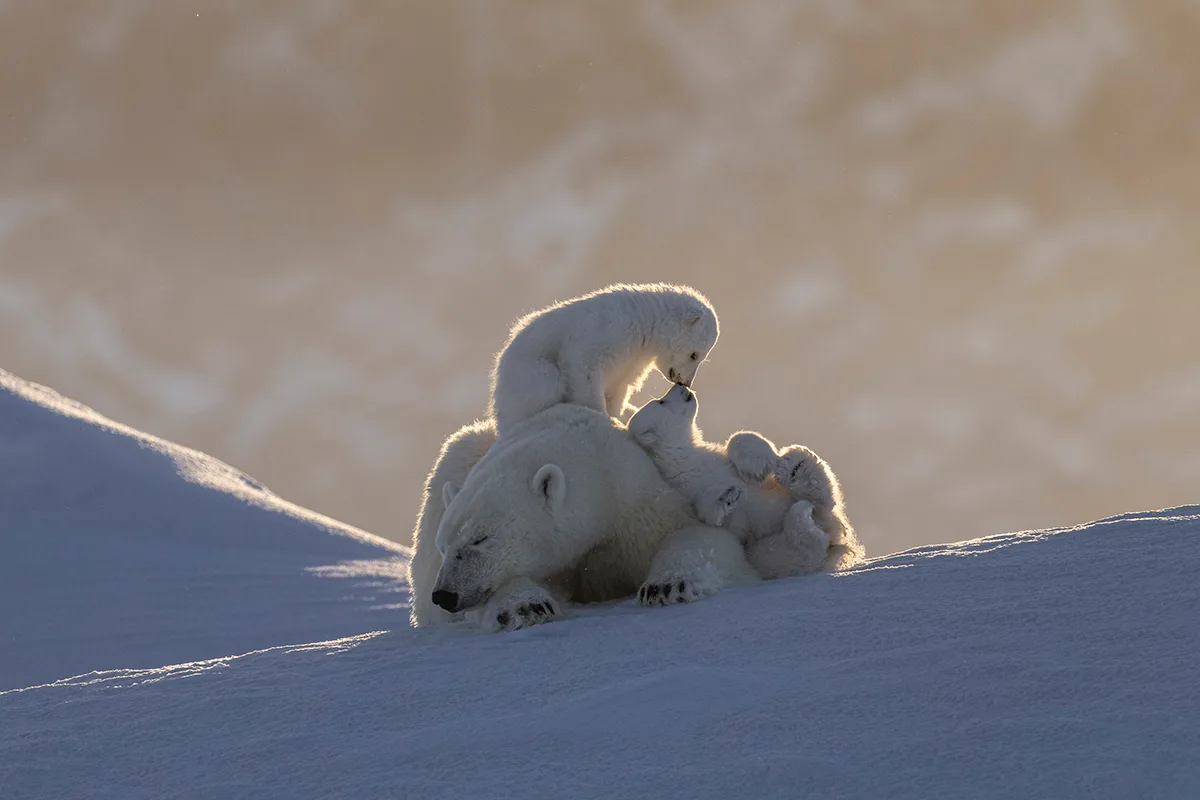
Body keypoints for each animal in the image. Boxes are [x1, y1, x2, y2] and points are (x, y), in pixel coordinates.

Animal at [411, 402, 761, 632]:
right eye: (444, 546)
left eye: (479, 539)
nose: (445, 595)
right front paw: (527, 606)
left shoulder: (637, 500)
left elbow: (702, 537)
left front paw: (667, 586)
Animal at [487, 283, 720, 437]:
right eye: (694, 355)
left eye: (701, 357)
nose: (685, 382)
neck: (643, 323)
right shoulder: (603, 332)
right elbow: (582, 368)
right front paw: (602, 417)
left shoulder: (630, 363)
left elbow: (618, 390)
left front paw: (617, 416)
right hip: (530, 372)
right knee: (545, 383)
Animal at [626, 383, 864, 579]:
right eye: (661, 401)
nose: (680, 384)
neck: (686, 461)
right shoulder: (687, 492)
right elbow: (716, 517)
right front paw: (726, 496)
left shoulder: (720, 462)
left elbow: (738, 445)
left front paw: (759, 462)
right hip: (766, 548)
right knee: (794, 551)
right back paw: (802, 510)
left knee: (822, 501)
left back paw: (796, 468)